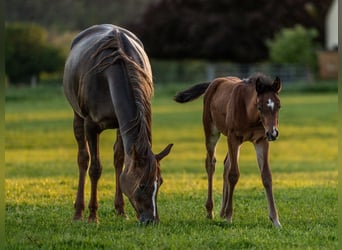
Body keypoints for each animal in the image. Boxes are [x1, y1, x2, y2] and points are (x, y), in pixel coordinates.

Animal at [62, 24, 172, 225]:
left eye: (159, 182)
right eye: (142, 185)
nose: (151, 220)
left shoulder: (123, 125)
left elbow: (120, 160)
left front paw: (121, 210)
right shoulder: (91, 126)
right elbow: (95, 169)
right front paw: (92, 216)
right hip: (77, 116)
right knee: (83, 158)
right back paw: (78, 212)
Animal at [175, 73, 282, 228]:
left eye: (279, 106)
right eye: (260, 107)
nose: (273, 133)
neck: (249, 114)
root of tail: (214, 82)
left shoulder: (261, 140)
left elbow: (266, 176)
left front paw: (275, 220)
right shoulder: (233, 137)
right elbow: (233, 175)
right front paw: (229, 217)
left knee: (226, 164)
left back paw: (222, 211)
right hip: (212, 132)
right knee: (211, 164)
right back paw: (210, 211)